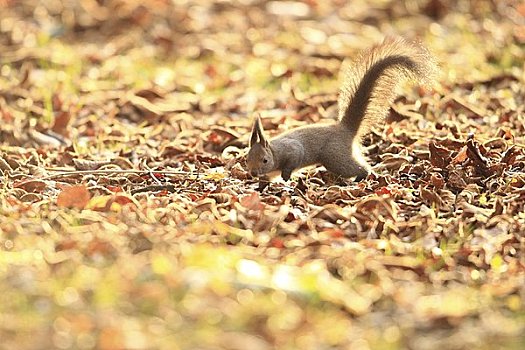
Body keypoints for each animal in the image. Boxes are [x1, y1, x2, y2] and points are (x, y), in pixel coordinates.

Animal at [246, 37, 438, 182]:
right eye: (246, 159)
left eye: (265, 160)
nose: (253, 173)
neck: (274, 151)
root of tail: (345, 129)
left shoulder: (293, 151)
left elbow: (291, 162)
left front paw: (286, 177)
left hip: (335, 158)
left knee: (359, 168)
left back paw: (361, 177)